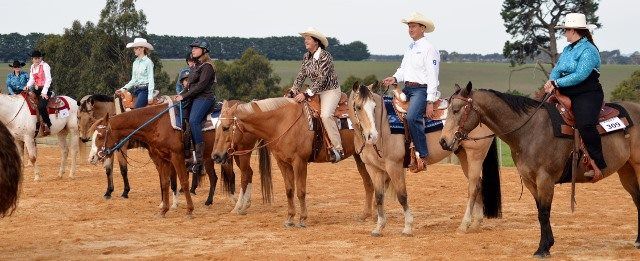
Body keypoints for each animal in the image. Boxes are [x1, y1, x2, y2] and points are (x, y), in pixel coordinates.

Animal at [344, 82, 500, 236]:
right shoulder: (373, 168)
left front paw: (408, 227)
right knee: (478, 184)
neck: (384, 125)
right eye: (358, 107)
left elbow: (402, 195)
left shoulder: (394, 165)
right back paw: (476, 223)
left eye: (374, 107)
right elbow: (379, 197)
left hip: (475, 155)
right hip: (463, 156)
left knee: (473, 187)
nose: (373, 135)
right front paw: (378, 227)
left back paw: (465, 225)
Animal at [438, 82, 640, 256]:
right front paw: (547, 245)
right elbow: (540, 212)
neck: (529, 130)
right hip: (626, 171)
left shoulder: (545, 179)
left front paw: (542, 249)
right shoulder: (530, 181)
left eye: (456, 110)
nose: (443, 141)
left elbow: (544, 212)